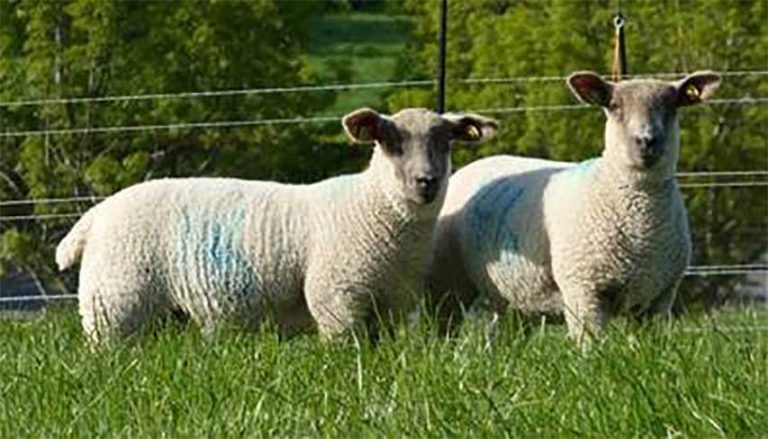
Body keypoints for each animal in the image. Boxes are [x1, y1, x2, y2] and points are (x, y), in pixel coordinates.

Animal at [56, 107, 498, 344]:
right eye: (391, 143)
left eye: (445, 142)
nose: (428, 182)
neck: (371, 209)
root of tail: (96, 215)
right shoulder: (335, 300)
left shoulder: (391, 305)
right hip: (114, 306)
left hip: (160, 314)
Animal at [429, 71, 720, 344]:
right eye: (614, 105)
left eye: (672, 105)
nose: (647, 140)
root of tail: (476, 164)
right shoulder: (583, 290)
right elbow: (592, 345)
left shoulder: (658, 298)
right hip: (447, 279)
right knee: (445, 322)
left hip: (515, 294)